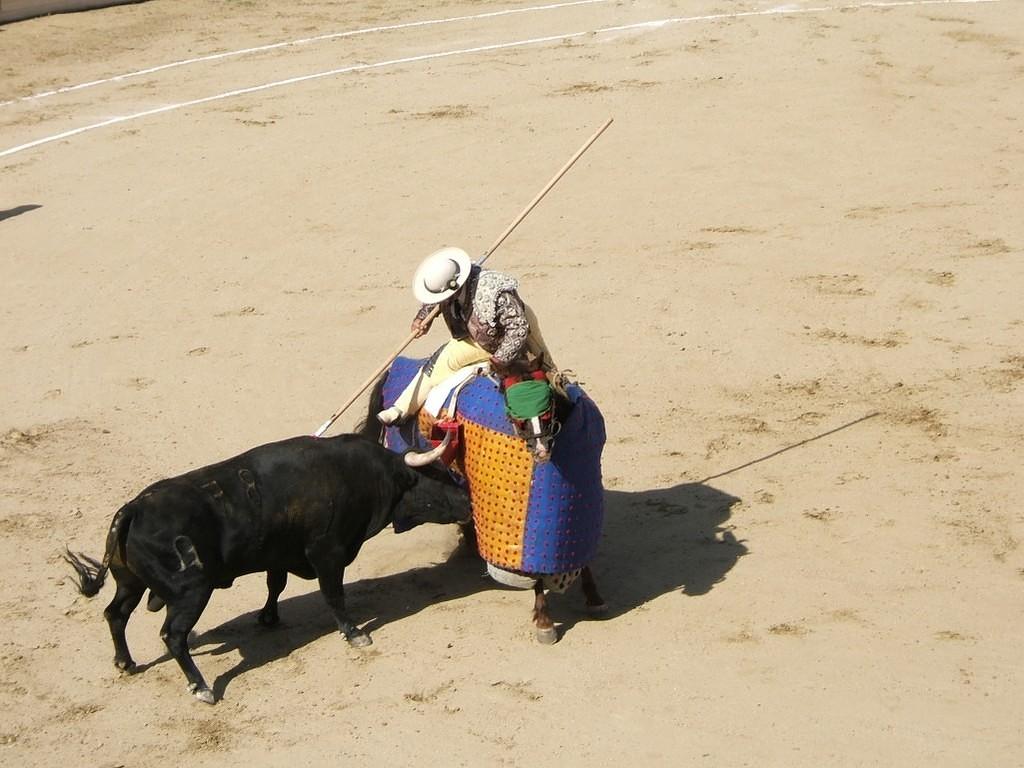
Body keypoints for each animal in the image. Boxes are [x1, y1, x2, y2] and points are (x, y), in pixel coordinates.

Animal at [66, 434, 473, 704]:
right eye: (439, 476)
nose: (469, 502)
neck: (364, 475)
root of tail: (133, 508)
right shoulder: (327, 552)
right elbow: (334, 596)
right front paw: (355, 633)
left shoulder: (279, 554)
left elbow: (275, 584)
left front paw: (268, 618)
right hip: (190, 592)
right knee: (173, 635)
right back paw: (202, 688)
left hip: (130, 583)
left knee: (115, 614)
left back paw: (125, 662)